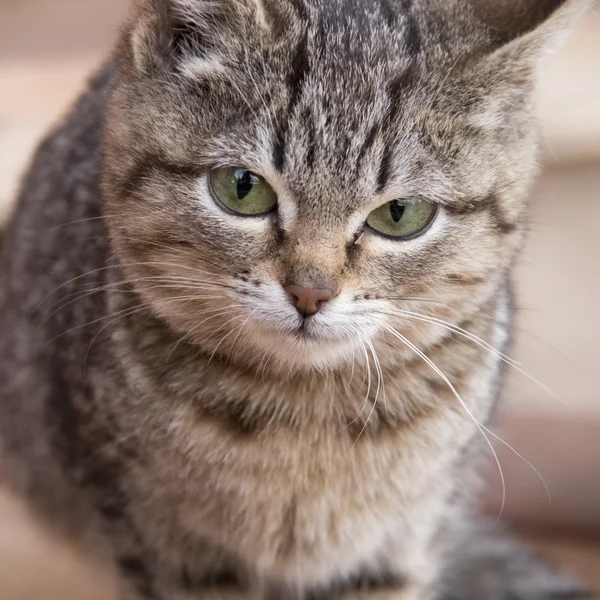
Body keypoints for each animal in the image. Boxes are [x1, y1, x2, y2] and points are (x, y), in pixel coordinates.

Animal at [0, 0, 596, 596]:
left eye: (400, 214)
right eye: (242, 187)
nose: (310, 291)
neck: (306, 415)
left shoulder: (395, 548)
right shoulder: (165, 549)